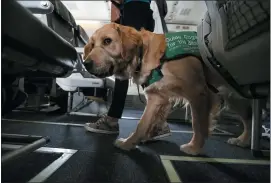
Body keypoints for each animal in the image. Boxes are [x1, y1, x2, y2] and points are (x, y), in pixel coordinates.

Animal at [83, 22, 253, 154]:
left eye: (107, 41)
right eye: (92, 45)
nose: (85, 63)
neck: (146, 55)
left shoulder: (198, 93)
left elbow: (197, 123)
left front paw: (194, 148)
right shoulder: (156, 97)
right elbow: (141, 124)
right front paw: (129, 143)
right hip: (235, 97)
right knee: (249, 119)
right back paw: (243, 141)